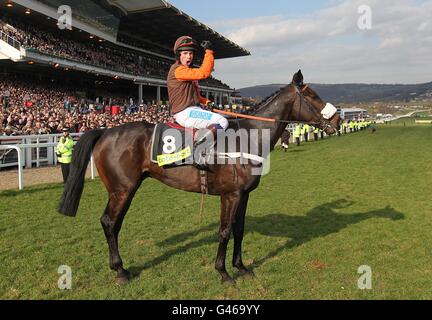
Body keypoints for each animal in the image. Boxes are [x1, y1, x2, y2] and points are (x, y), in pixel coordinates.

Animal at [59, 70, 340, 284]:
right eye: (312, 95)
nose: (338, 119)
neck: (248, 137)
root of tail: (105, 132)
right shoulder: (230, 195)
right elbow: (225, 231)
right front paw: (223, 272)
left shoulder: (244, 195)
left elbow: (239, 230)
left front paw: (241, 267)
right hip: (122, 189)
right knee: (109, 222)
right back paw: (120, 270)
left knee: (114, 224)